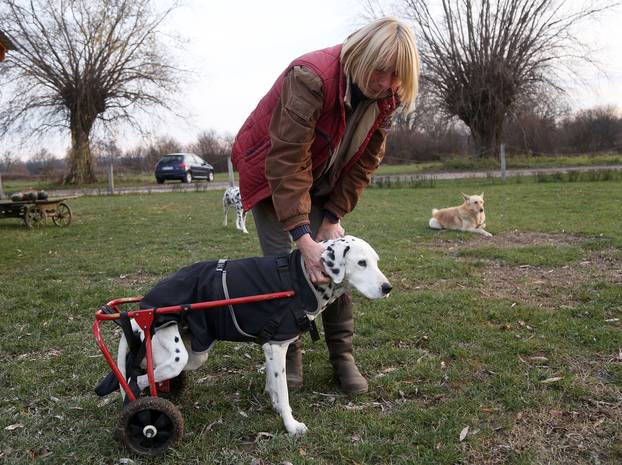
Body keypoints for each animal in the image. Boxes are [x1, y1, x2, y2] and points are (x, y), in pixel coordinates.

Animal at [116, 236, 390, 436]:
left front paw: (276, 407)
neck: (300, 276)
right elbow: (283, 391)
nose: (388, 288)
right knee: (133, 379)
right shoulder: (276, 347)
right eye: (361, 263)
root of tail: (141, 310)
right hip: (177, 358)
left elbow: (274, 386)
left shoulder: (272, 346)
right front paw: (291, 425)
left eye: (376, 261)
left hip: (192, 355)